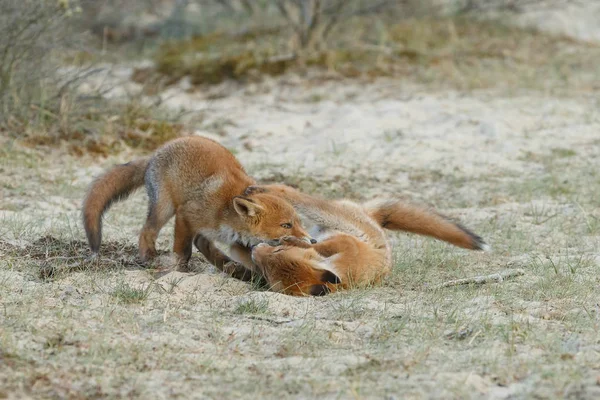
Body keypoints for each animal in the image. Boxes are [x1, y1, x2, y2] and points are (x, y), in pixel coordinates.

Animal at [82, 136, 312, 274]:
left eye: (300, 223)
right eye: (286, 225)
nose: (312, 240)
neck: (226, 212)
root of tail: (155, 153)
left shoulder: (239, 240)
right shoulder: (186, 215)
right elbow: (182, 250)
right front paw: (179, 270)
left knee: (202, 243)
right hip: (165, 208)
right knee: (147, 231)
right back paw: (149, 257)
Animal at [197, 184, 488, 294]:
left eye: (270, 270)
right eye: (273, 259)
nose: (258, 250)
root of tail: (374, 220)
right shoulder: (341, 245)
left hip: (327, 214)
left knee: (296, 195)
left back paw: (265, 189)